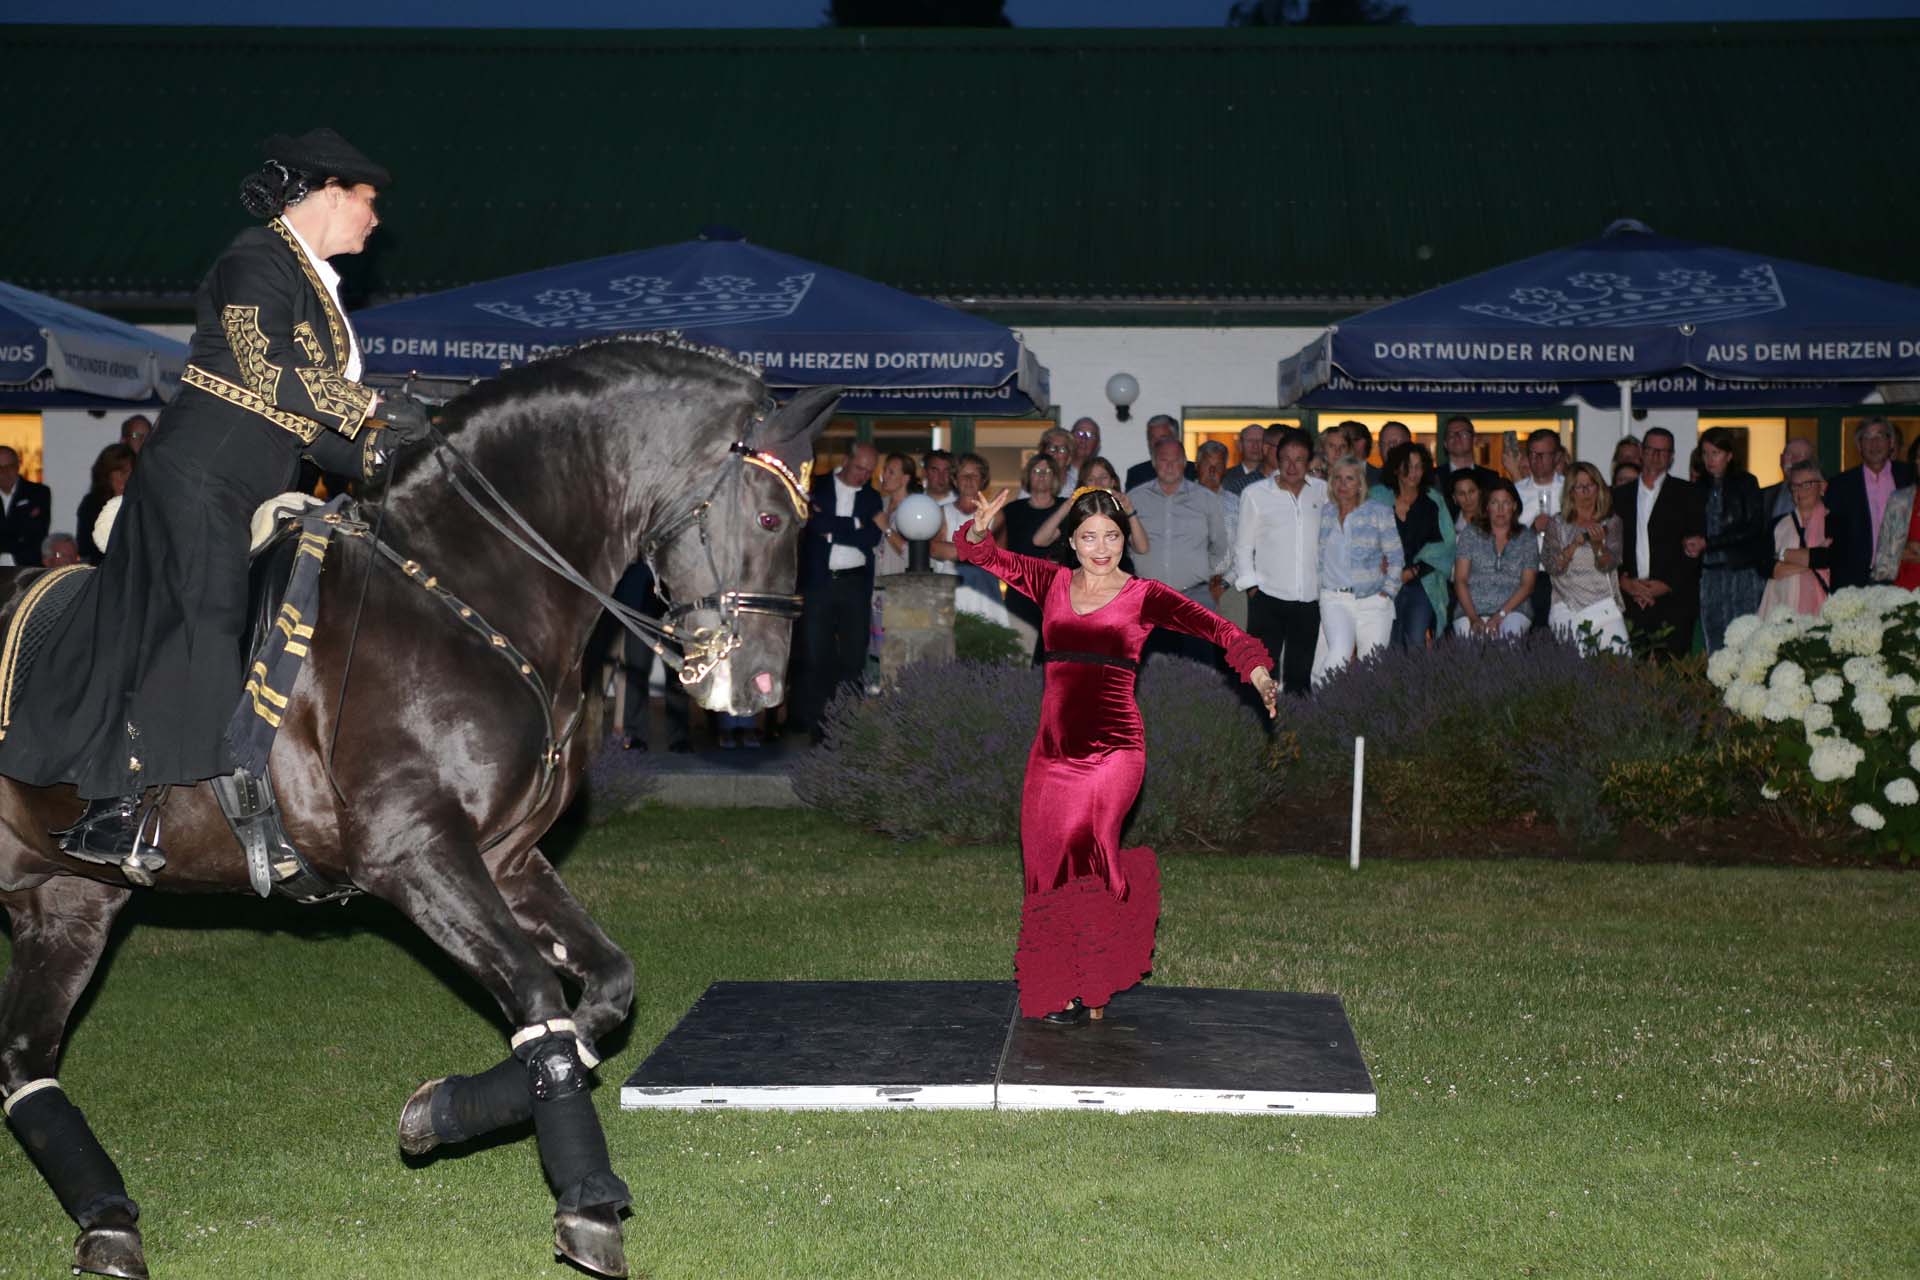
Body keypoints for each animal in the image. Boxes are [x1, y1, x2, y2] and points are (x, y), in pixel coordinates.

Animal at [1, 335, 840, 1274]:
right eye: (771, 520)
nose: (761, 686)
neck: (460, 590)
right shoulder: (416, 853)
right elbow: (537, 995)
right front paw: (586, 1202)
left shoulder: (506, 859)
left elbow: (603, 994)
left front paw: (435, 1114)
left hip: (67, 899)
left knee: (25, 1061)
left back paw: (107, 1221)